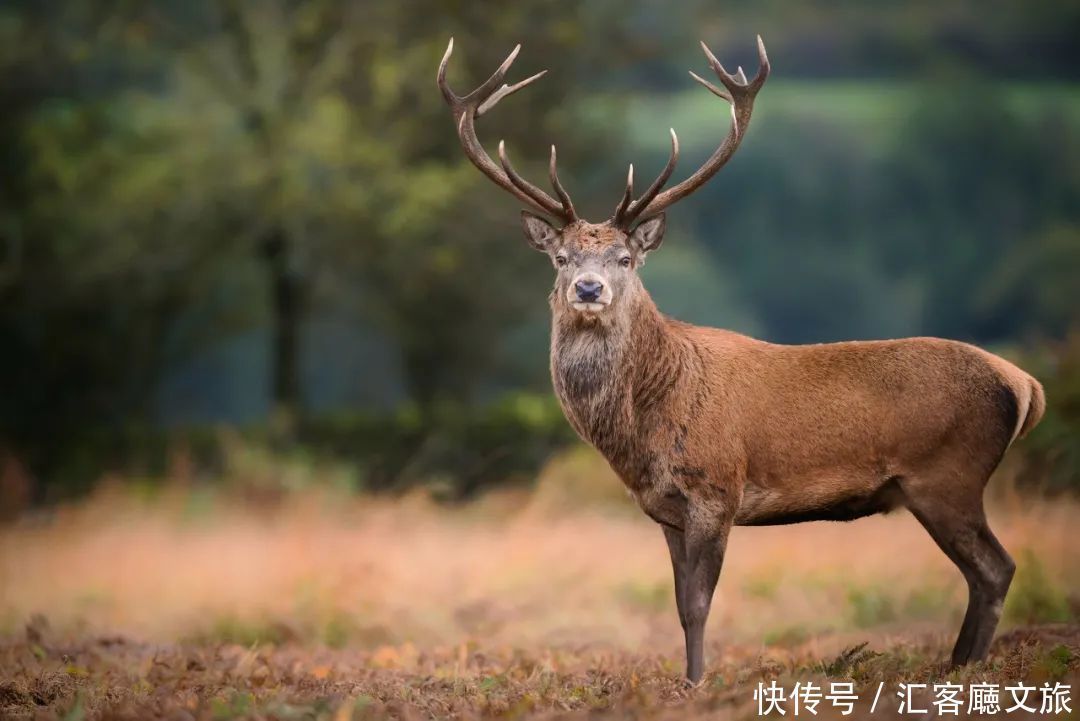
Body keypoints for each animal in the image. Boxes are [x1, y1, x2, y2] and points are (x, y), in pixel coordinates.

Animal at [436, 35, 1045, 686]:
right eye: (562, 258)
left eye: (625, 258)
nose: (589, 288)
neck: (645, 425)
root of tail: (1023, 384)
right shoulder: (665, 509)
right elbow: (680, 603)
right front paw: (687, 678)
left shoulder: (717, 487)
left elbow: (701, 603)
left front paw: (698, 682)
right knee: (986, 571)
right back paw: (955, 668)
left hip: (948, 474)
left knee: (996, 568)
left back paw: (964, 671)